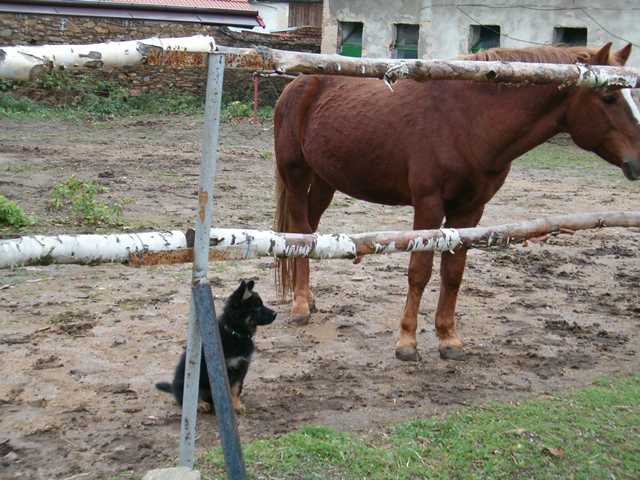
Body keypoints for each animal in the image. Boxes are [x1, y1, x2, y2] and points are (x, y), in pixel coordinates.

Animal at [156, 280, 276, 413]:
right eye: (257, 307)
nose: (275, 314)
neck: (235, 333)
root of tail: (173, 387)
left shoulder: (241, 366)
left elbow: (236, 388)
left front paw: (237, 405)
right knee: (186, 398)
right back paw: (201, 404)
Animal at [273, 42, 639, 362]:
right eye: (609, 97)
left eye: (632, 95)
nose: (638, 161)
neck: (470, 120)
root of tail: (298, 85)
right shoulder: (429, 205)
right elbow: (419, 271)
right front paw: (407, 342)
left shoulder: (470, 209)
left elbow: (453, 272)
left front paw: (448, 338)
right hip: (296, 175)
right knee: (300, 231)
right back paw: (301, 305)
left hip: (325, 181)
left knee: (310, 233)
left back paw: (309, 297)